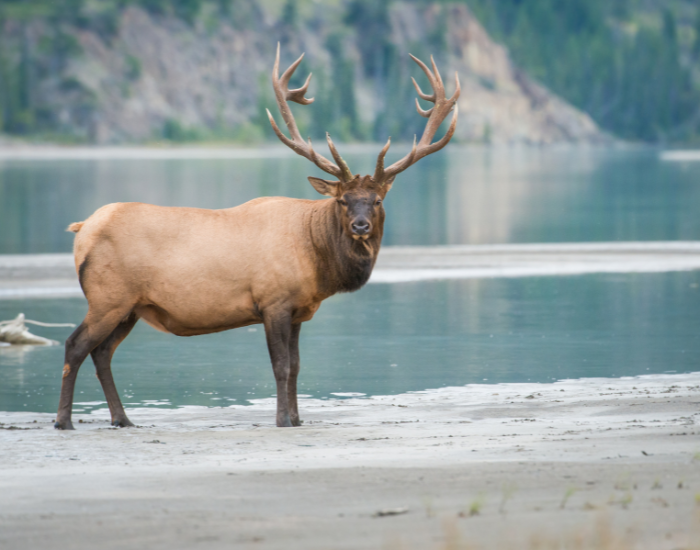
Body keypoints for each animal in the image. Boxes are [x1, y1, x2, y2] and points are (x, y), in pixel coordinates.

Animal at [54, 44, 459, 430]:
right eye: (343, 200)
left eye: (376, 201)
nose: (361, 226)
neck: (317, 260)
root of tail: (81, 229)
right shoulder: (273, 301)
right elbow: (281, 366)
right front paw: (282, 420)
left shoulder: (299, 310)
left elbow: (296, 366)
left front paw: (297, 418)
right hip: (108, 297)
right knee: (75, 345)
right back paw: (64, 420)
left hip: (130, 307)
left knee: (101, 352)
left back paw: (122, 418)